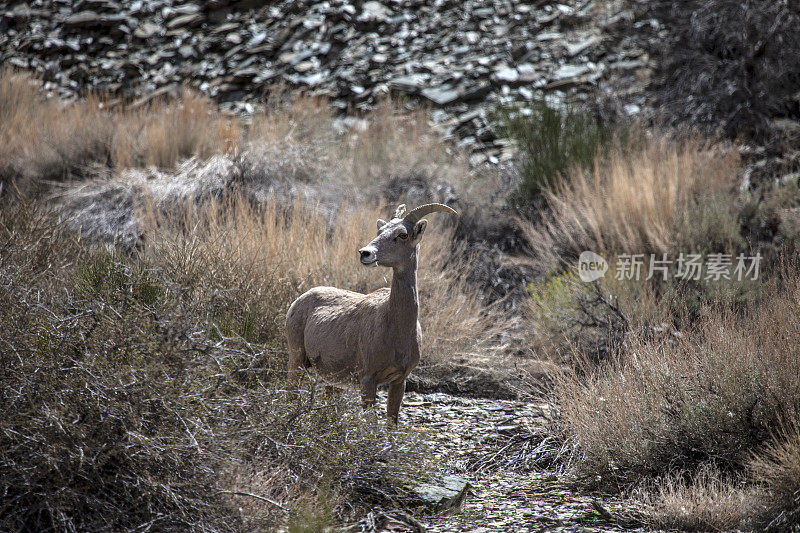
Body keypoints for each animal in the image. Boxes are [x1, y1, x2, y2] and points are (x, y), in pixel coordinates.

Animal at [284, 202, 456, 422]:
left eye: (402, 234)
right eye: (380, 231)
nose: (365, 253)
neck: (395, 328)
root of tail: (298, 301)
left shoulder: (399, 381)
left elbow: (391, 421)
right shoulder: (368, 381)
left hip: (332, 381)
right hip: (297, 360)